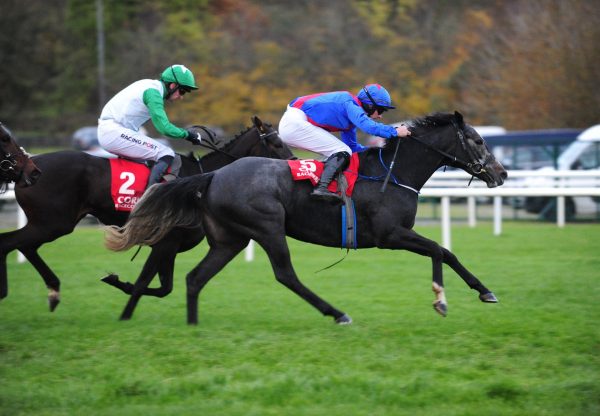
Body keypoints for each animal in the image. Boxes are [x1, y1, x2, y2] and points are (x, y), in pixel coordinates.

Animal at [0, 115, 294, 310]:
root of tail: (30, 169)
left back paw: (51, 290)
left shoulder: (168, 245)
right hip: (52, 222)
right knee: (11, 243)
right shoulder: (166, 241)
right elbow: (155, 285)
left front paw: (119, 283)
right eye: (277, 143)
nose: (294, 164)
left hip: (50, 223)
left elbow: (164, 288)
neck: (203, 178)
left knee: (25, 246)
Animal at [106, 112, 506, 324]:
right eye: (478, 141)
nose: (500, 174)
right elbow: (439, 250)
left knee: (195, 278)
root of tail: (213, 175)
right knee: (286, 275)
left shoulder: (397, 235)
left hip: (230, 239)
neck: (393, 173)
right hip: (266, 228)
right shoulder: (390, 235)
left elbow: (446, 252)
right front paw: (442, 299)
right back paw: (337, 313)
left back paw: (192, 325)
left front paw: (484, 291)